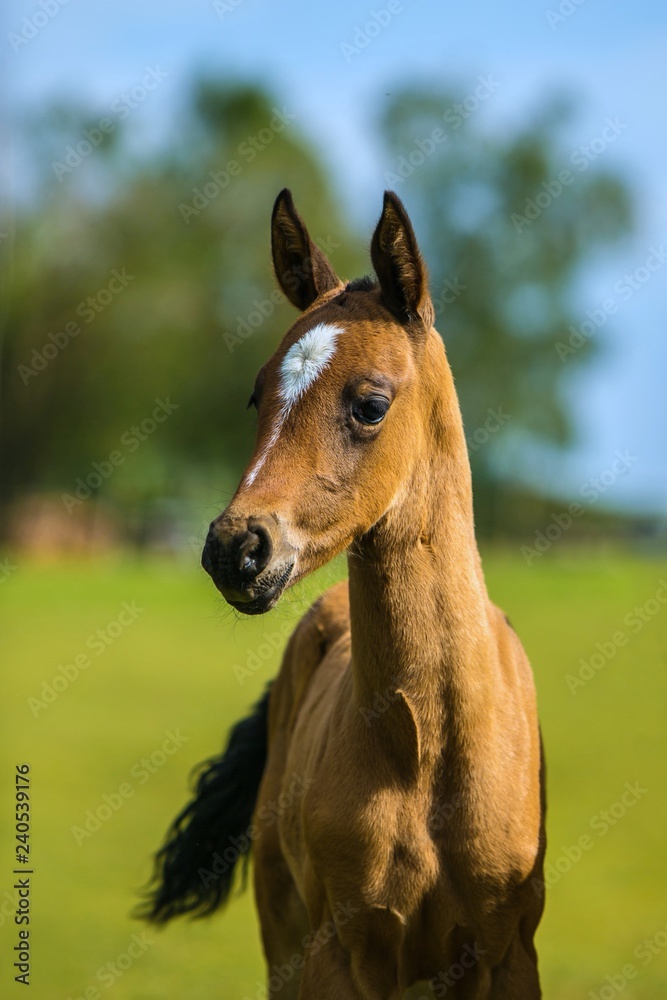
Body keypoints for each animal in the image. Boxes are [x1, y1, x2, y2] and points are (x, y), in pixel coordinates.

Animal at [141, 188, 546, 998]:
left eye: (370, 404)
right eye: (257, 396)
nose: (235, 548)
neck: (428, 753)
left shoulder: (509, 955)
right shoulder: (338, 952)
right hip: (283, 932)